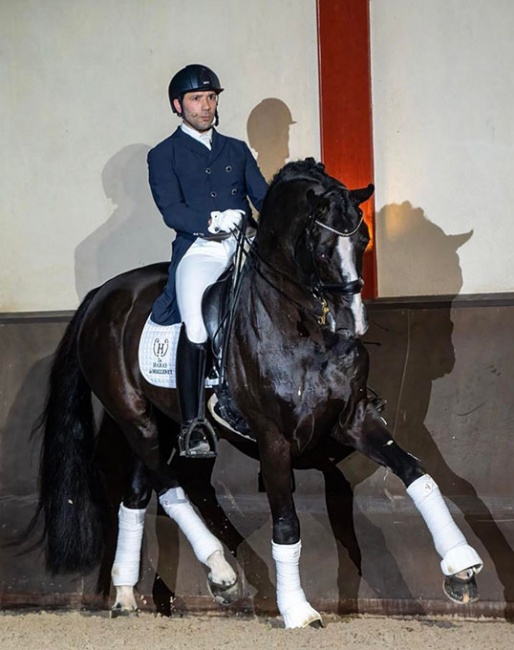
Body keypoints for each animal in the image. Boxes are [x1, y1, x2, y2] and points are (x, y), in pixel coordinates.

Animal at [32, 158, 480, 628]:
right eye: (323, 249)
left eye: (363, 241)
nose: (352, 324)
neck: (301, 325)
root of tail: (104, 293)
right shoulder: (273, 438)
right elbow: (287, 523)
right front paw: (298, 610)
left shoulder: (355, 418)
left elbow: (416, 472)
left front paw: (461, 566)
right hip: (133, 415)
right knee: (170, 485)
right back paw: (220, 573)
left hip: (157, 419)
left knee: (138, 494)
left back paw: (124, 595)